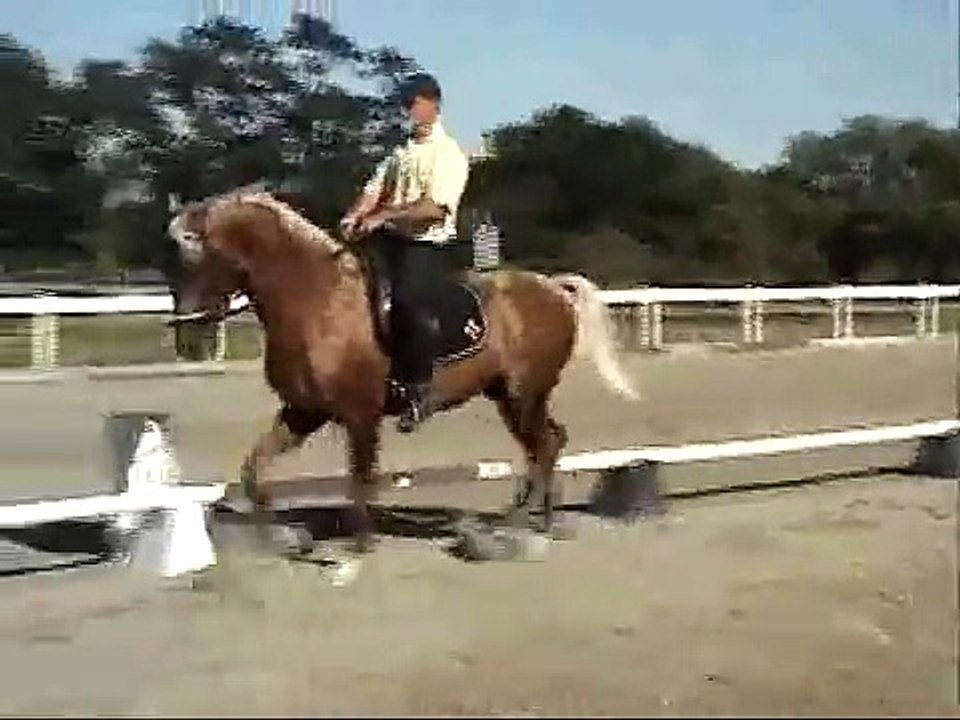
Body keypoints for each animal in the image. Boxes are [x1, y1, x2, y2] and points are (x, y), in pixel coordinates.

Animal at [167, 187, 639, 557]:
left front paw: (360, 545)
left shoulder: (360, 415)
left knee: (544, 445)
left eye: (197, 251)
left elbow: (359, 478)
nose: (185, 328)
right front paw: (283, 537)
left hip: (525, 393)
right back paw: (538, 519)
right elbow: (254, 472)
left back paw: (515, 523)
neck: (315, 300)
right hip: (509, 396)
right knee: (546, 444)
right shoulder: (303, 412)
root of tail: (553, 288)